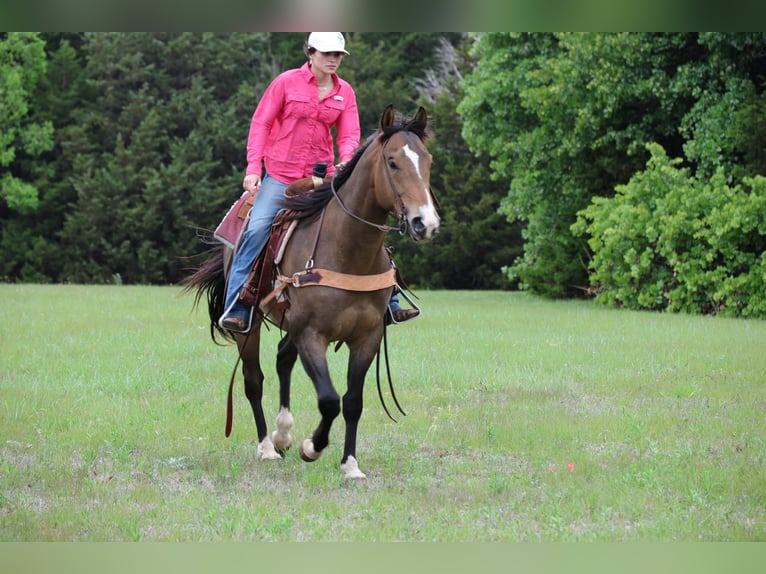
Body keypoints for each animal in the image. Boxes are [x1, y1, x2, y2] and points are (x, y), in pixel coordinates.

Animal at [183, 105, 440, 480]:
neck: (348, 251)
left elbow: (352, 401)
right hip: (251, 326)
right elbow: (329, 400)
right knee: (253, 379)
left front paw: (350, 464)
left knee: (282, 359)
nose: (426, 223)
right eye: (392, 162)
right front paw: (312, 447)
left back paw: (282, 435)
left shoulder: (367, 337)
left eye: (428, 161)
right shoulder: (311, 334)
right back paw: (267, 447)